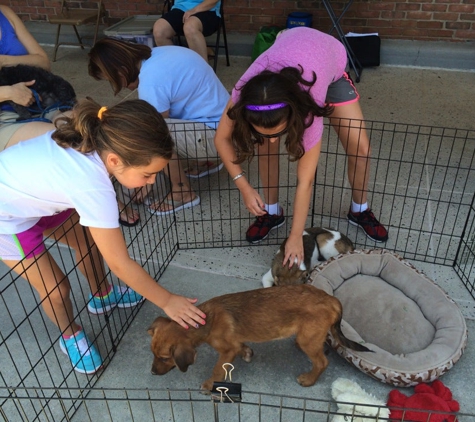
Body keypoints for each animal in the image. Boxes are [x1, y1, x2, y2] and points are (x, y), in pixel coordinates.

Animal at [147, 286, 370, 390]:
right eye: (153, 354)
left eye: (165, 358)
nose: (153, 373)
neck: (205, 320)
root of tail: (331, 299)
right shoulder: (234, 343)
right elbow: (241, 346)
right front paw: (247, 352)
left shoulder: (226, 350)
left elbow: (218, 369)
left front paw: (210, 384)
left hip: (309, 339)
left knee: (322, 362)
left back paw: (308, 380)